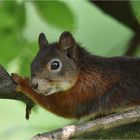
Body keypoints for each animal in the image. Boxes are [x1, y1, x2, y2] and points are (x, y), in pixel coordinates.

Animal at [12, 31, 140, 119]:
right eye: (32, 62)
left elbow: (59, 106)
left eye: (55, 65)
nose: (34, 84)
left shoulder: (85, 91)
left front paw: (23, 82)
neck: (82, 72)